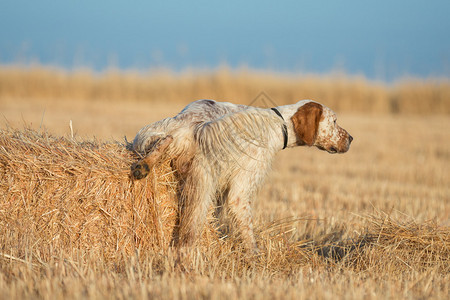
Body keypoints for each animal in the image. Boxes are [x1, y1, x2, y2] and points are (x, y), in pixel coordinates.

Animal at [130, 99, 352, 252]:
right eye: (334, 121)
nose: (351, 138)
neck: (279, 123)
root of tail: (189, 126)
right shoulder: (240, 189)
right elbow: (247, 228)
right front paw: (255, 254)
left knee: (163, 141)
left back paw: (143, 166)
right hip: (202, 184)